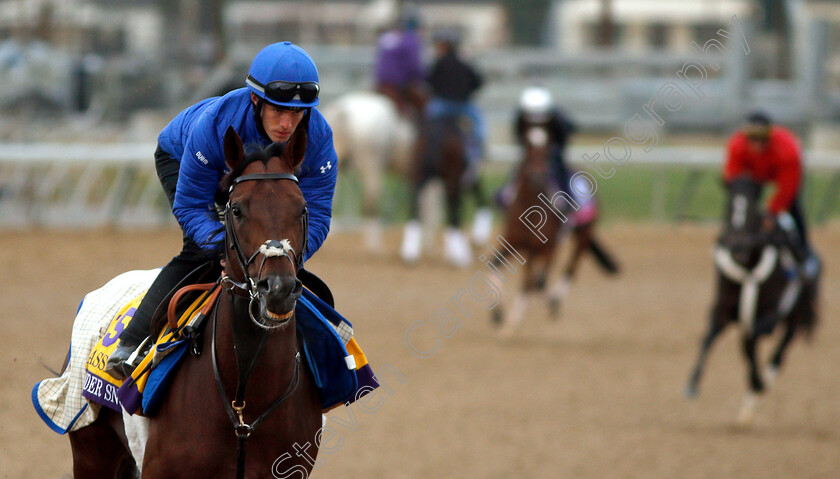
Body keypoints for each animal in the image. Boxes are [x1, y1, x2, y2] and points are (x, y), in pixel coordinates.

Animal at [684, 175, 816, 424]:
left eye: (753, 207)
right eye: (728, 206)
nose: (738, 246)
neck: (748, 269)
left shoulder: (771, 315)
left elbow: (749, 341)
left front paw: (757, 383)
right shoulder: (721, 311)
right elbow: (708, 340)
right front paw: (692, 384)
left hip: (795, 315)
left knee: (781, 350)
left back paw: (762, 384)